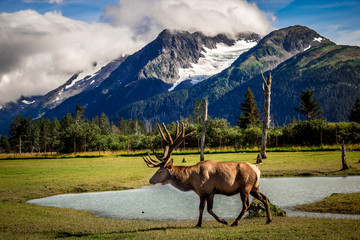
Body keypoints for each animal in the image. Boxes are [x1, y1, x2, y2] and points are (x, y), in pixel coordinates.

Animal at [142, 122, 272, 227]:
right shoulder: (201, 193)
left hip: (245, 187)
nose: (150, 180)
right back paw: (269, 219)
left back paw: (235, 222)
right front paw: (198, 224)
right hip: (254, 187)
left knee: (246, 204)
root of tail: (256, 168)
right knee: (265, 197)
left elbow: (209, 209)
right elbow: (201, 208)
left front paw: (223, 220)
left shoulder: (209, 190)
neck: (191, 181)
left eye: (160, 171)